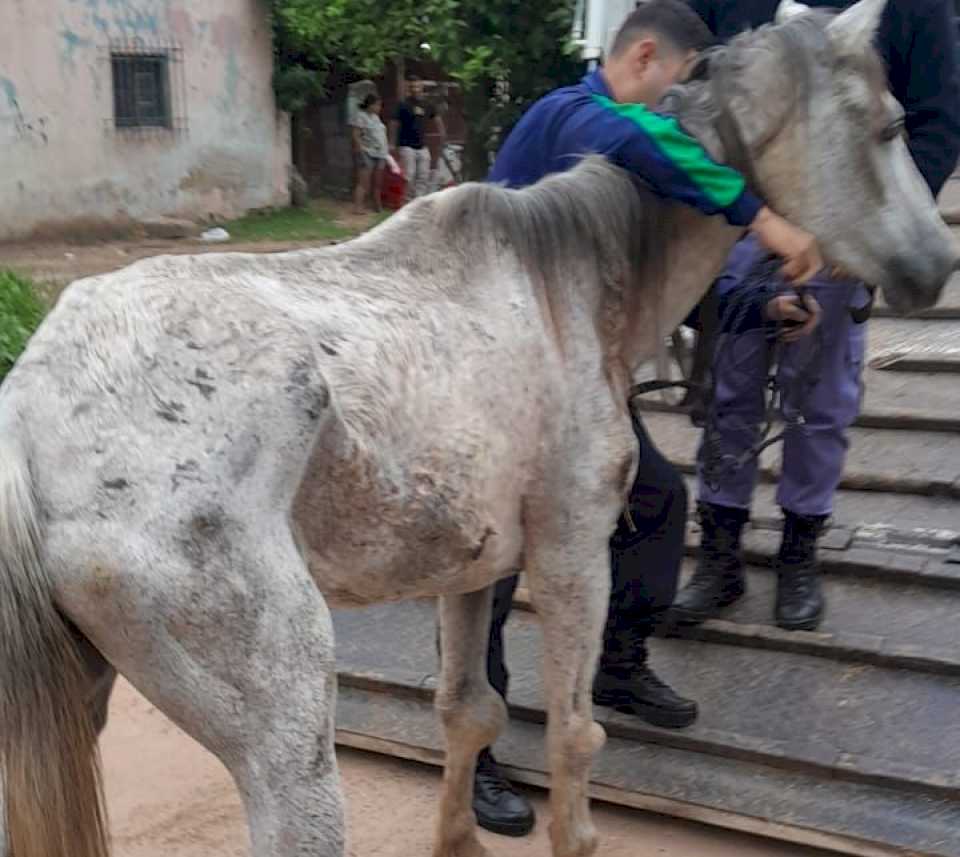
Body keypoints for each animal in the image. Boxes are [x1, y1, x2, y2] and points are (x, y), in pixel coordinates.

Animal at [0, 1, 952, 856]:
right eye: (891, 123)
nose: (936, 265)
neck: (569, 281)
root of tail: (30, 413)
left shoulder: (470, 566)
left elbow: (469, 711)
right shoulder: (573, 555)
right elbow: (573, 732)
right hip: (283, 735)